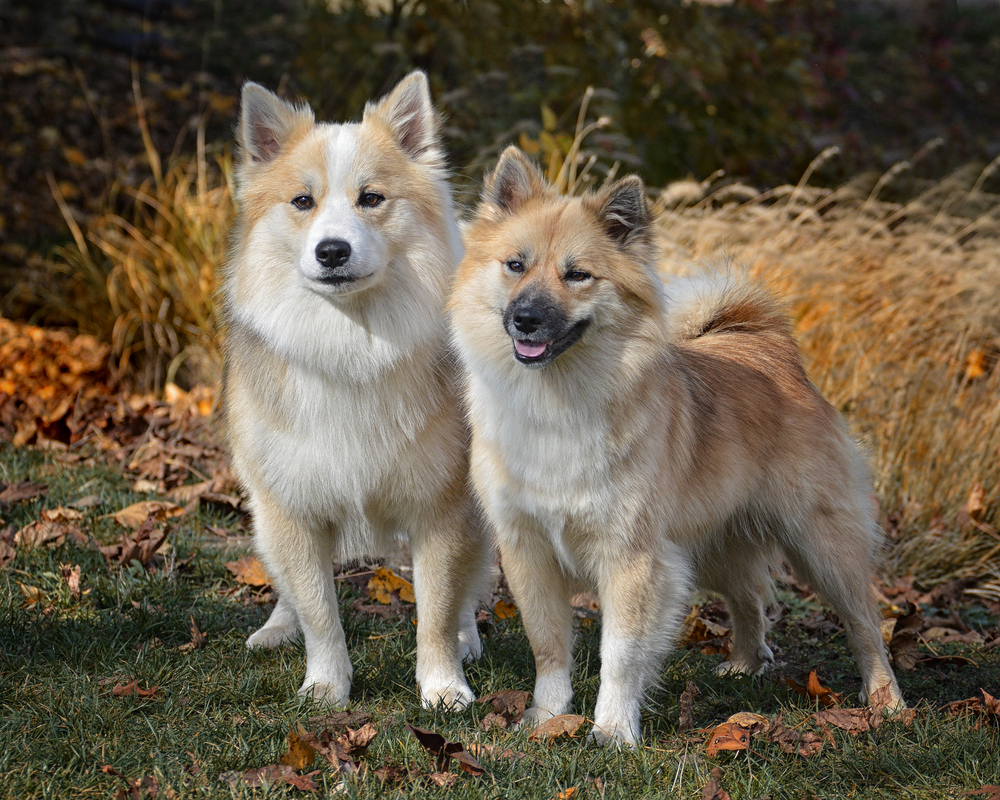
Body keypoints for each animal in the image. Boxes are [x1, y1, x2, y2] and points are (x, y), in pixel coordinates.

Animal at [226, 72, 492, 708]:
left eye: (371, 199)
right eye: (302, 202)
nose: (332, 251)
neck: (352, 344)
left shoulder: (443, 508)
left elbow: (436, 611)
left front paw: (443, 684)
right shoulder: (292, 506)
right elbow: (320, 611)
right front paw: (327, 685)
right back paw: (277, 628)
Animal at [450, 148, 904, 744]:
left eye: (577, 275)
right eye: (515, 265)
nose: (525, 318)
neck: (558, 401)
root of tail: (774, 349)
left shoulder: (632, 559)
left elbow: (621, 654)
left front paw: (613, 730)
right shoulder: (529, 552)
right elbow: (548, 646)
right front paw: (547, 717)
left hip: (821, 546)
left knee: (864, 623)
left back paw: (885, 700)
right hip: (710, 548)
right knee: (748, 600)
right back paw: (746, 663)